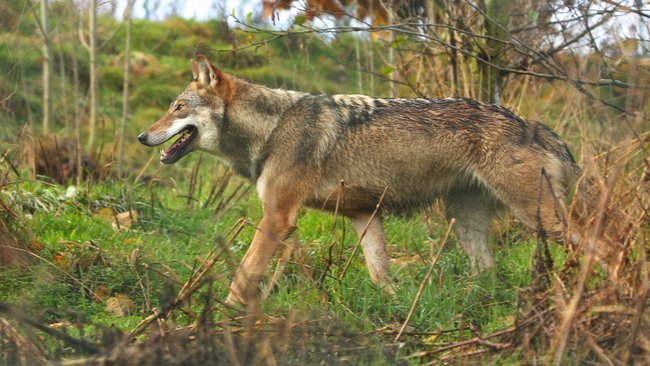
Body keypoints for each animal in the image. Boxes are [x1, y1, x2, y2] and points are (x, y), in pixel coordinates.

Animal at [138, 54, 584, 306]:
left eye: (176, 107)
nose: (143, 137)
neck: (272, 127)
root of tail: (531, 125)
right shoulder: (364, 214)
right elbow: (379, 273)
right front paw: (398, 311)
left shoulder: (278, 218)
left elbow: (244, 274)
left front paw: (225, 314)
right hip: (464, 222)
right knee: (487, 271)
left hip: (537, 217)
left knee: (588, 243)